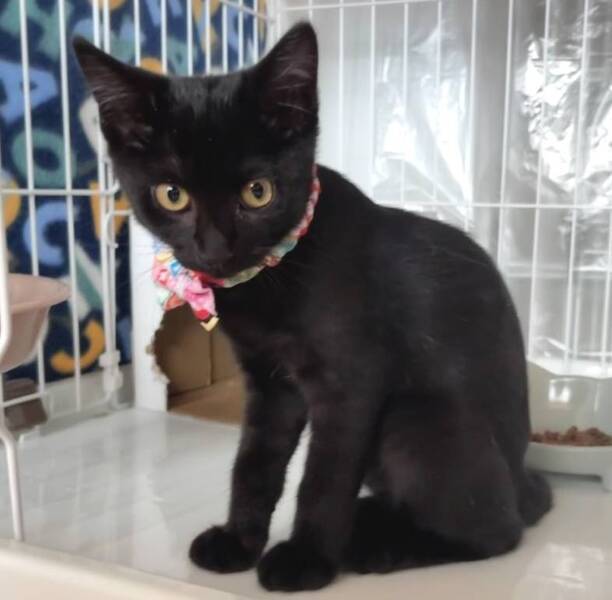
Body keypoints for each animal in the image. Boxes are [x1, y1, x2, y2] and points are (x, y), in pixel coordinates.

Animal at [74, 22, 552, 592]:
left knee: (495, 530)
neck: (272, 277)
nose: (215, 246)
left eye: (258, 192)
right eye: (172, 194)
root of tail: (524, 480)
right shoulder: (269, 384)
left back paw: (376, 547)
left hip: (412, 422)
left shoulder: (351, 383)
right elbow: (253, 464)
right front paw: (238, 542)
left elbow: (324, 477)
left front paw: (305, 560)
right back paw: (371, 519)